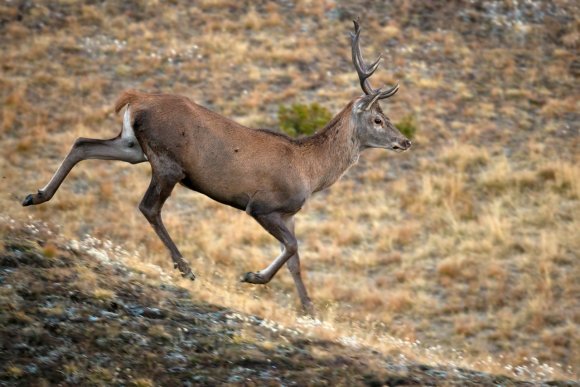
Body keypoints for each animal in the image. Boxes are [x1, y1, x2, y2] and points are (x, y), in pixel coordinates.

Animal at [22, 21, 410, 316]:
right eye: (378, 119)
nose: (405, 141)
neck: (310, 171)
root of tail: (134, 99)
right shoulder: (262, 205)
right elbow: (292, 248)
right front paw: (253, 277)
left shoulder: (289, 214)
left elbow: (296, 258)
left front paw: (309, 309)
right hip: (168, 162)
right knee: (148, 206)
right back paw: (185, 267)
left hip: (133, 147)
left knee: (82, 143)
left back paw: (35, 196)